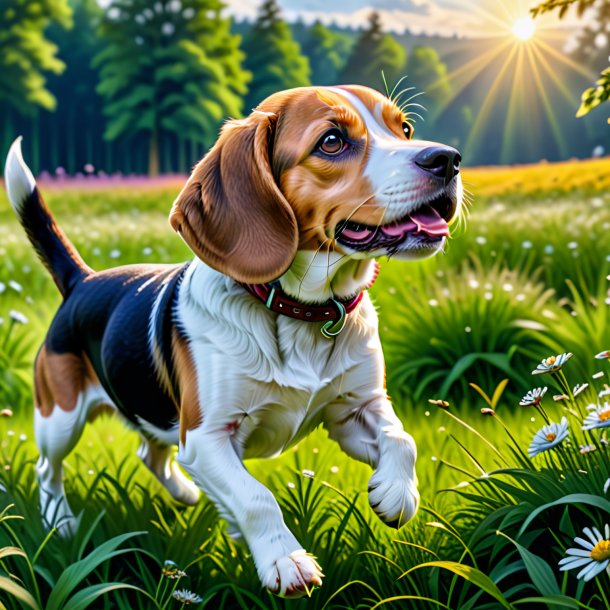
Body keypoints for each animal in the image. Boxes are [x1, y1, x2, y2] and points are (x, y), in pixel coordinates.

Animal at [5, 84, 460, 592]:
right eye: (332, 141)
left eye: (405, 129)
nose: (448, 159)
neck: (299, 311)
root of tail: (81, 280)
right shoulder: (208, 437)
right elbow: (256, 498)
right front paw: (285, 561)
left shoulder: (353, 409)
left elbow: (401, 438)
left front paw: (396, 494)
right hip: (59, 418)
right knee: (49, 468)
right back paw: (60, 522)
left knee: (151, 451)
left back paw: (186, 493)